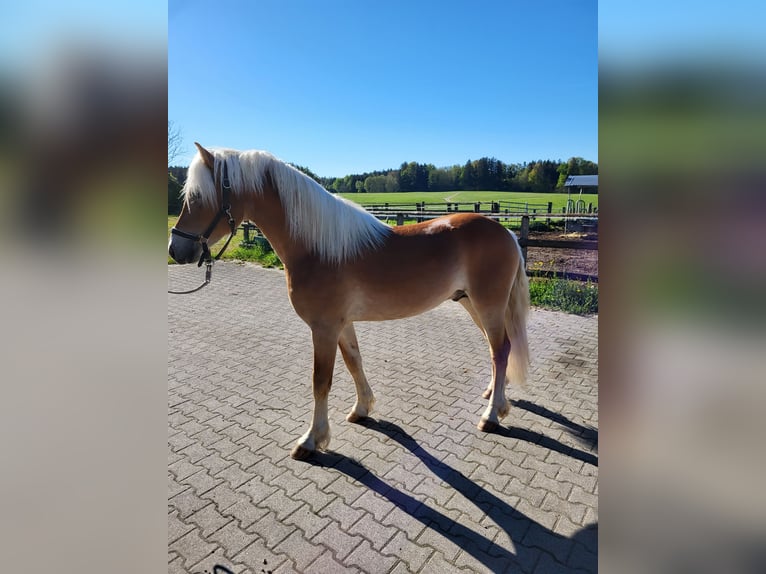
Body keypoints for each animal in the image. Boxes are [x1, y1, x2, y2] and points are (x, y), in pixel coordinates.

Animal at [170, 145, 528, 464]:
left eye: (198, 198)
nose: (176, 249)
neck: (317, 247)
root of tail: (507, 233)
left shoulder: (324, 328)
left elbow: (320, 382)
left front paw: (311, 440)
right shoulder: (342, 325)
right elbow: (354, 362)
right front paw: (362, 408)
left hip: (488, 305)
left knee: (500, 350)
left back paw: (491, 415)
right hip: (473, 304)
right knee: (498, 349)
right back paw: (493, 395)